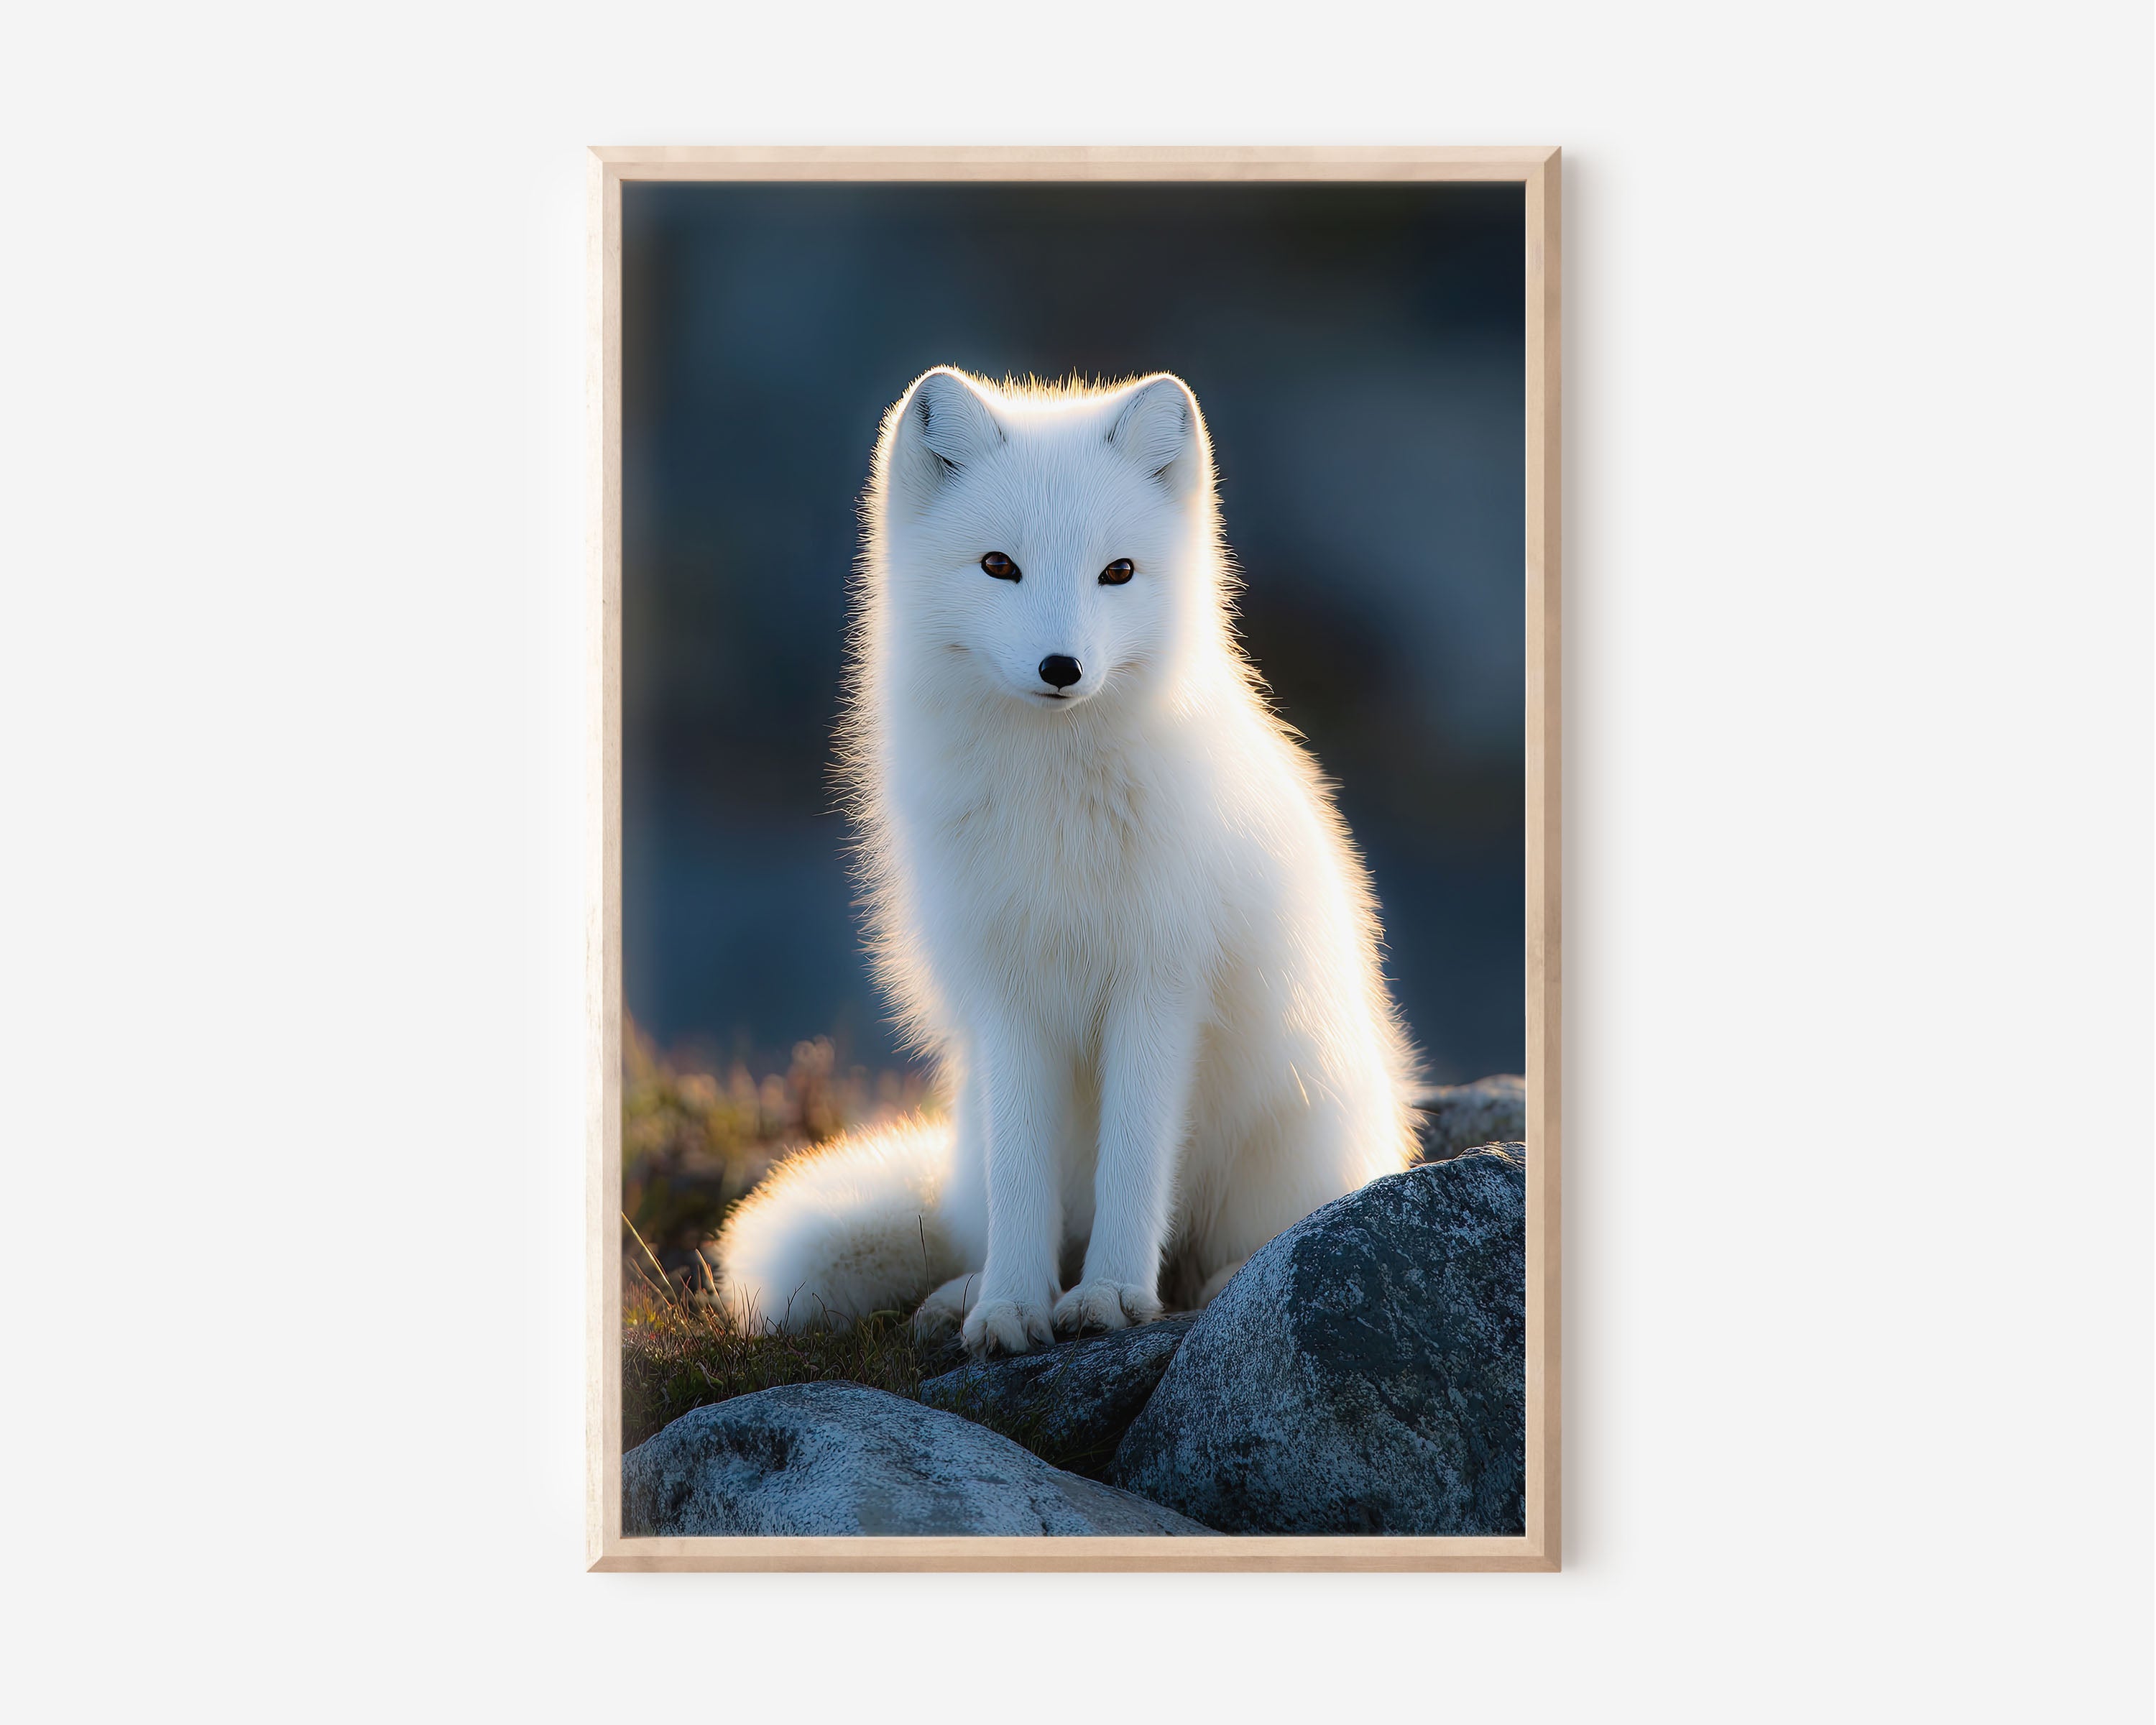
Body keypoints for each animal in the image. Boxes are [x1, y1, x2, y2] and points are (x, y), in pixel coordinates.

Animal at [713, 367, 1421, 1357]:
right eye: (998, 566)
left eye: (1116, 571)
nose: (1062, 666)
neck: (1057, 805)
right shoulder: (1009, 992)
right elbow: (1024, 1179)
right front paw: (1011, 1306)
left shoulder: (1160, 981)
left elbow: (1136, 1158)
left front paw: (1114, 1295)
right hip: (974, 1124)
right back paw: (967, 1291)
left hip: (1295, 1131)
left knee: (1244, 1235)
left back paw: (1219, 1276)